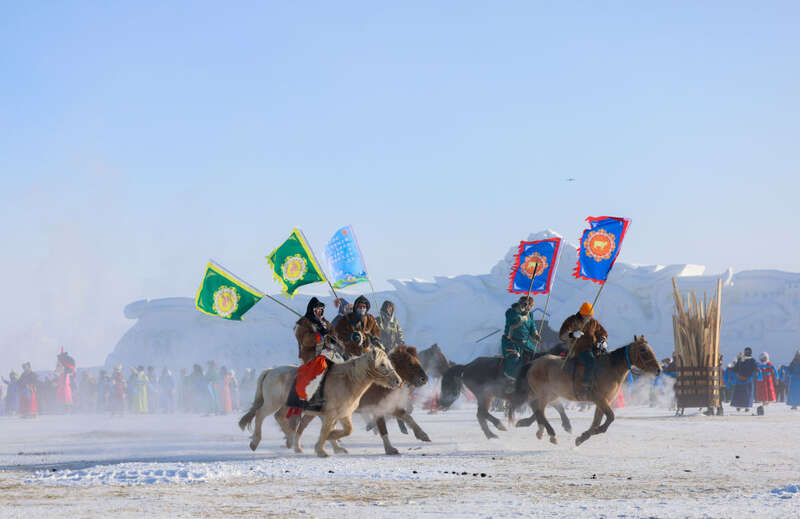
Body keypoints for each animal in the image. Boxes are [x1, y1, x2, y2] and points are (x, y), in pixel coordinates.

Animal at [238, 347, 402, 457]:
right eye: (382, 364)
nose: (398, 381)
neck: (347, 381)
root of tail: (270, 371)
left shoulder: (343, 414)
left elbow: (347, 430)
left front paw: (333, 444)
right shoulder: (330, 414)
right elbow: (325, 431)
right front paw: (321, 450)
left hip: (286, 405)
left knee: (279, 417)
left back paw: (293, 442)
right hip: (272, 403)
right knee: (260, 415)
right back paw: (256, 442)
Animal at [295, 345, 430, 455]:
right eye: (410, 363)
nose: (424, 379)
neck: (376, 384)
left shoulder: (389, 406)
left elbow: (407, 417)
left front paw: (423, 435)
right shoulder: (378, 409)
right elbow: (383, 429)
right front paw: (390, 449)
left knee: (304, 424)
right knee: (305, 426)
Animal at [438, 351, 572, 439]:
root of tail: (467, 366)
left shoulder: (548, 396)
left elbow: (557, 407)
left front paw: (567, 425)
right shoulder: (538, 397)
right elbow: (540, 411)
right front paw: (524, 423)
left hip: (486, 396)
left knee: (480, 414)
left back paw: (491, 435)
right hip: (485, 395)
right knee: (482, 413)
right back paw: (499, 426)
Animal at [518, 334, 661, 446]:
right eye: (643, 350)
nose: (659, 369)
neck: (610, 368)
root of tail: (533, 363)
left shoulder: (603, 401)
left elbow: (597, 421)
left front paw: (582, 437)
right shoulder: (600, 398)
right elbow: (610, 417)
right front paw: (593, 432)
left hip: (550, 394)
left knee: (540, 409)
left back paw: (539, 430)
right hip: (544, 393)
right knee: (539, 409)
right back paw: (550, 433)